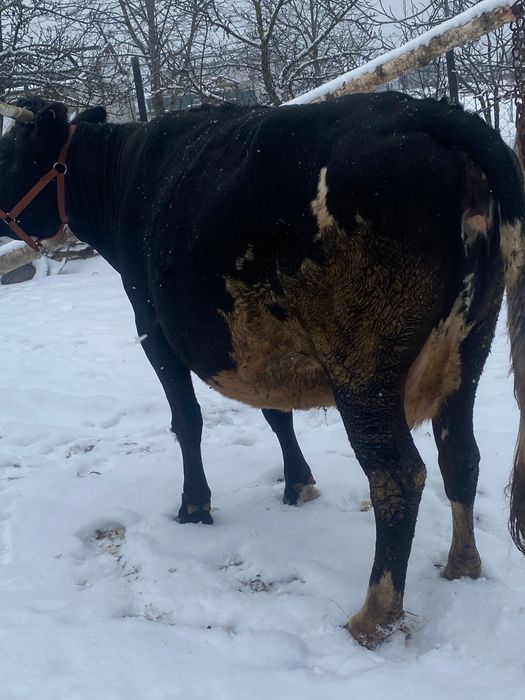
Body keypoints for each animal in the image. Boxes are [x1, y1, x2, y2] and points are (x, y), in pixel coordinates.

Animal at [0, 92, 524, 649]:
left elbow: (187, 419)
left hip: (363, 362)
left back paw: (373, 617)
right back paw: (462, 566)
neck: (122, 175)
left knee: (398, 474)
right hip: (469, 347)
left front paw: (194, 507)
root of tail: (432, 112)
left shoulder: (151, 325)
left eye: (8, 155)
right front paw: (298, 484)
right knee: (460, 456)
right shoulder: (264, 347)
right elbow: (276, 412)